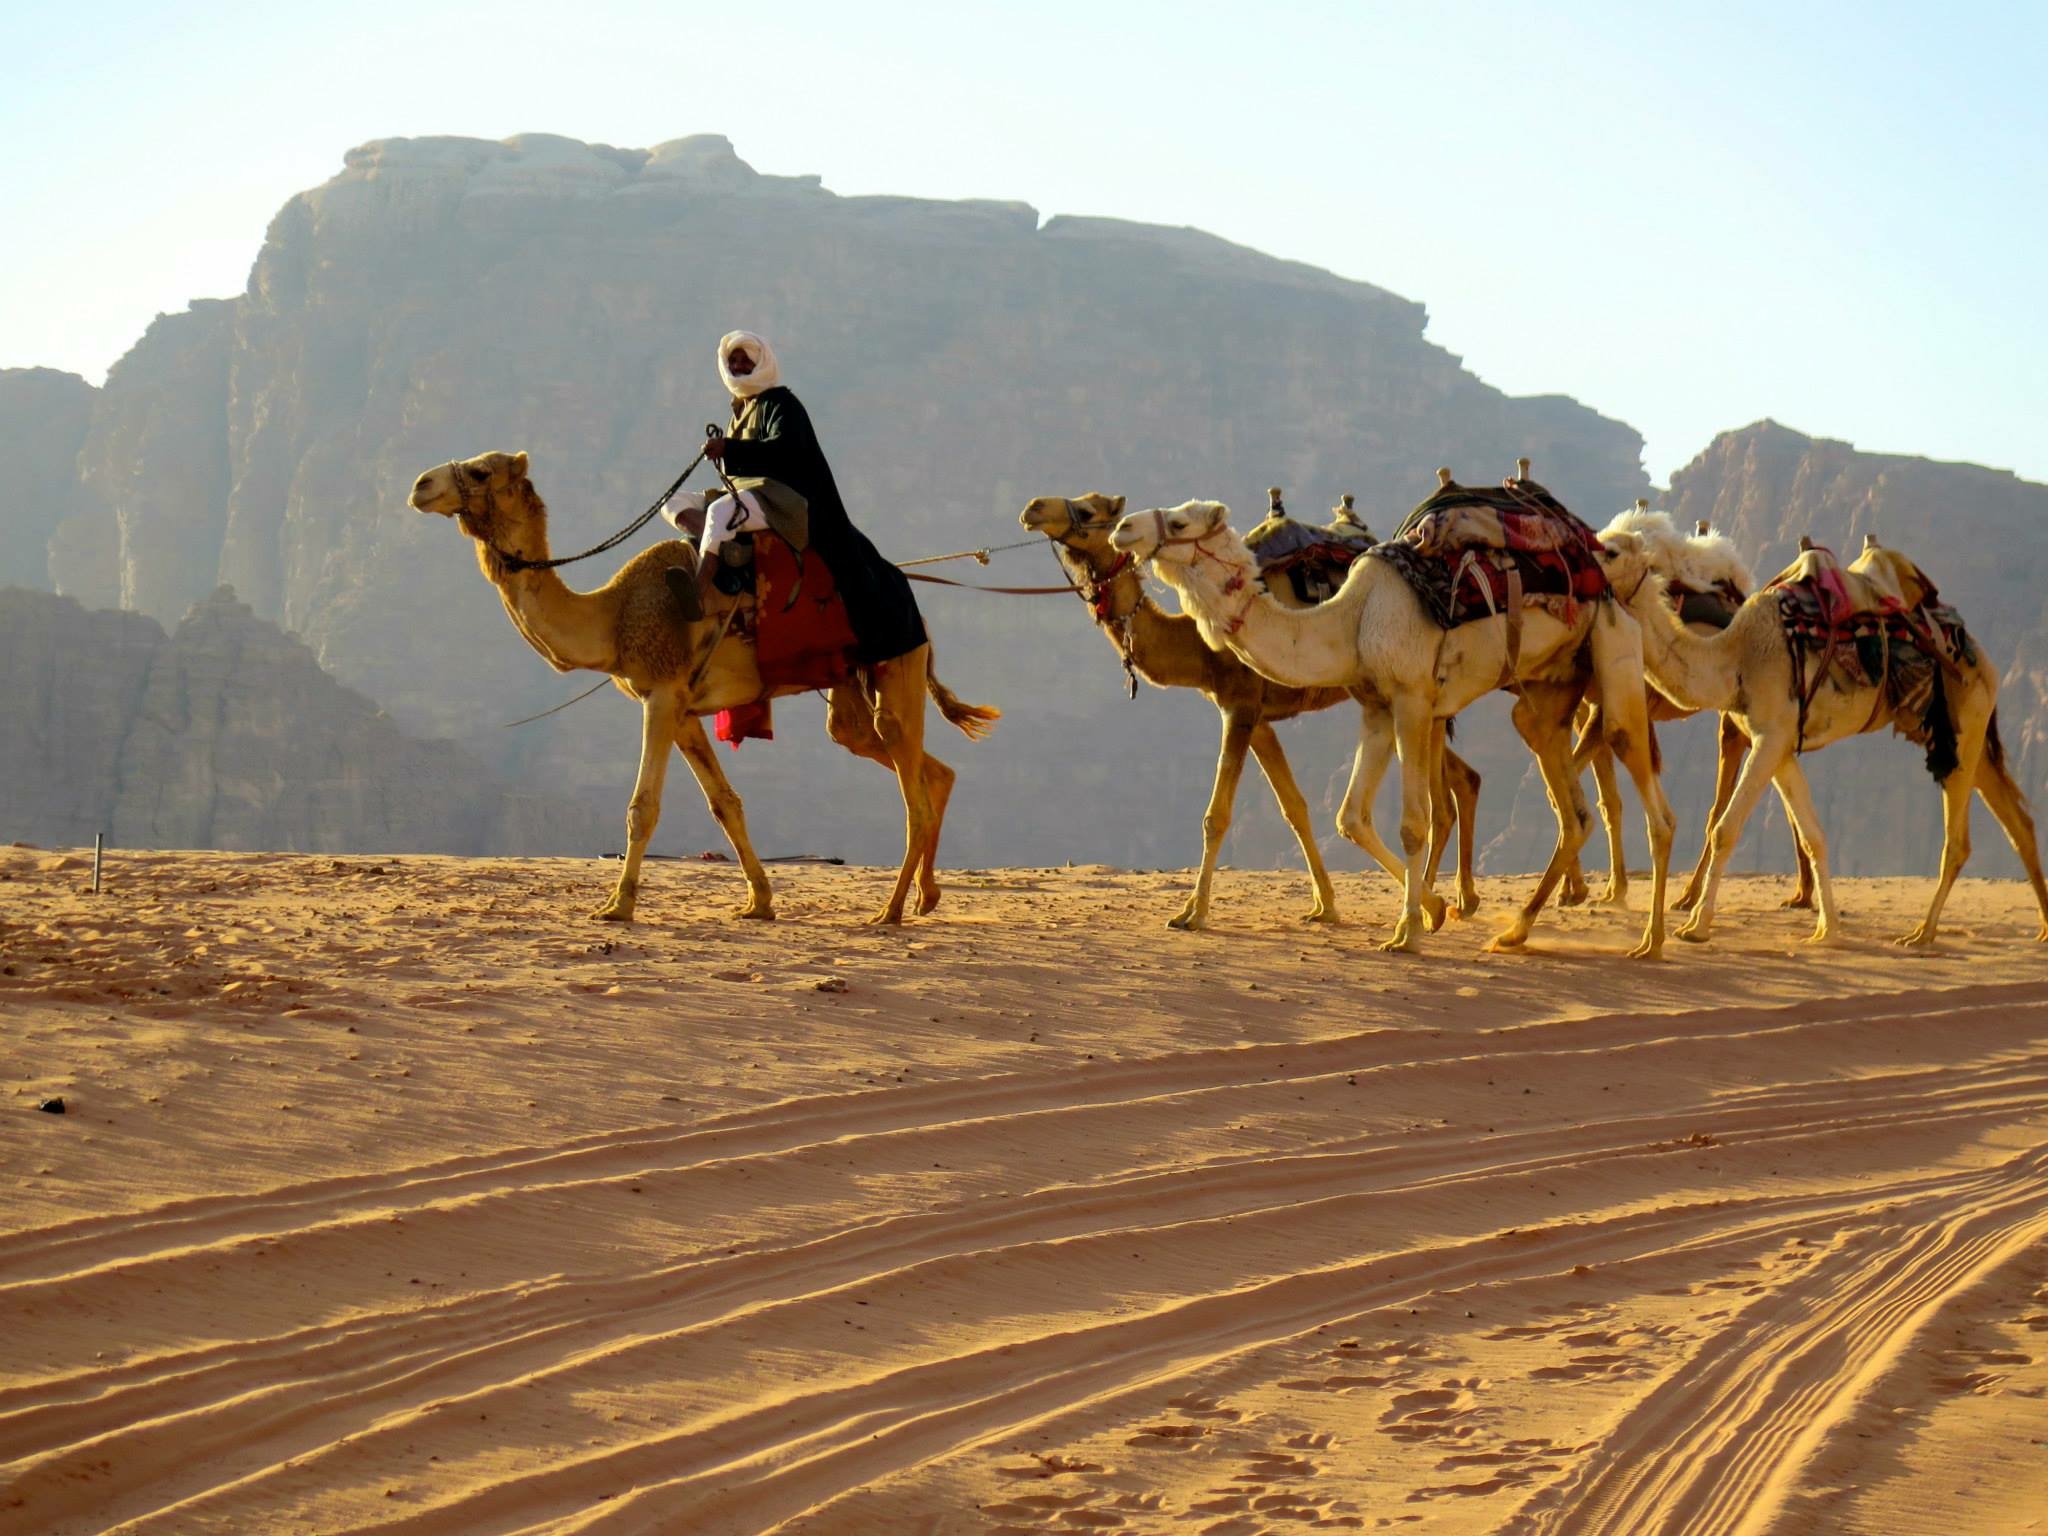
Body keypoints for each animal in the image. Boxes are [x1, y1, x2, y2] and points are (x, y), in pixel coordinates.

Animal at [403, 448, 995, 925]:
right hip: (851, 685)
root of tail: (913, 598)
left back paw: (890, 911)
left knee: (910, 788)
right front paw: (759, 903)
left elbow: (643, 807)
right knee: (913, 762)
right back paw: (927, 896)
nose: (420, 485)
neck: (613, 618)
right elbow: (725, 803)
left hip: (896, 662)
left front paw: (617, 907)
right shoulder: (684, 708)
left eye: (481, 471)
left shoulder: (661, 695)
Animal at [1024, 495, 1490, 925]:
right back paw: (1457, 899)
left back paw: (1437, 902)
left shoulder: (1241, 705)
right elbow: (1294, 807)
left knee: (1445, 799)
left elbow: (1216, 816)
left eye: (1089, 510)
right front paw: (1325, 905)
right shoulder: (1260, 719)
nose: (1033, 508)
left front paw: (1192, 913)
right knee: (1463, 780)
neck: (1197, 645)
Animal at [1114, 481, 1671, 962]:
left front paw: (1408, 932)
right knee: (1572, 811)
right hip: (1548, 692)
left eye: (1180, 522)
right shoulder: (1376, 708)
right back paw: (1515, 931)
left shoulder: (1412, 701)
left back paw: (1652, 942)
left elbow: (1412, 823)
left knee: (1642, 783)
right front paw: (1435, 909)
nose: (1123, 527)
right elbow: (1351, 816)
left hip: (1613, 644)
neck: (1351, 621)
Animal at [1556, 505, 1818, 913]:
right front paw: (1592, 889)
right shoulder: (1591, 709)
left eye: (1611, 552)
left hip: (1739, 721)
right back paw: (1799, 893)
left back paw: (1696, 896)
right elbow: (1599, 796)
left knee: (1723, 807)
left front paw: (1588, 889)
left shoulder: (1608, 711)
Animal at [1597, 528, 2048, 946]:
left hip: (1964, 718)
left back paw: (1922, 933)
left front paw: (1696, 927)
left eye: (1611, 550)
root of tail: (1981, 653)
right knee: (2019, 822)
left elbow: (1725, 829)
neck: (1734, 660)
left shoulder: (1770, 736)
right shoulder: (1777, 745)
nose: (1584, 555)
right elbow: (1815, 835)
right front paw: (1826, 929)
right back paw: (2042, 928)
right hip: (1955, 733)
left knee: (1959, 841)